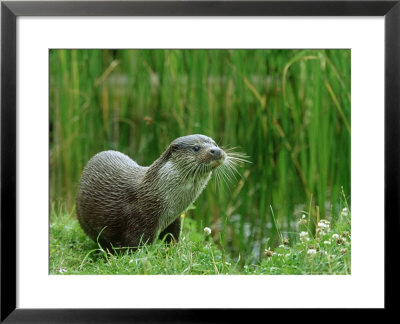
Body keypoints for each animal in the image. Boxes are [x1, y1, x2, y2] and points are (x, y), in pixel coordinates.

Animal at [76, 134, 242, 251]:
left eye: (215, 144)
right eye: (196, 148)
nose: (217, 151)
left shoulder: (175, 219)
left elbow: (172, 238)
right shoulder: (139, 220)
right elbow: (135, 246)